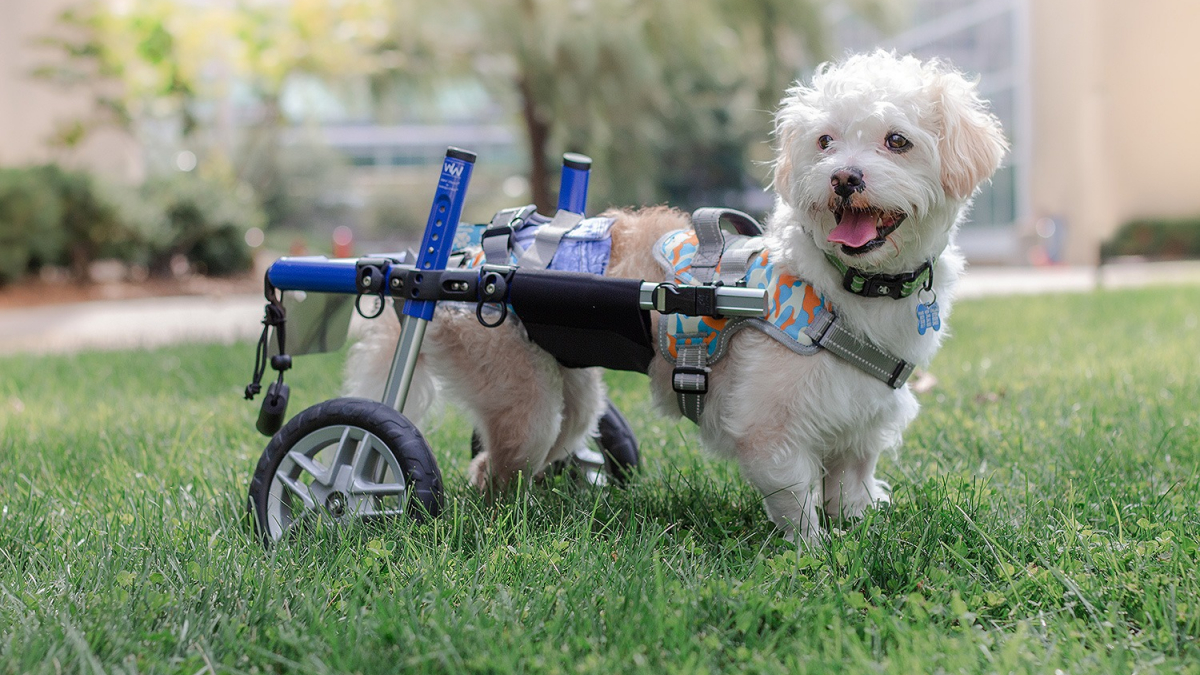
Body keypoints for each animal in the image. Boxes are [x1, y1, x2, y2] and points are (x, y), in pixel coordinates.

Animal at [343, 51, 1008, 540]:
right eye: (825, 142)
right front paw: (814, 558)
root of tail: (449, 260)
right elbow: (798, 507)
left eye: (898, 141)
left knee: (555, 446)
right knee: (491, 473)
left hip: (569, 393)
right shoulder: (771, 433)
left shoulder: (860, 426)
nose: (845, 178)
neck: (849, 290)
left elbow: (851, 490)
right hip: (521, 401)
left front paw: (860, 533)